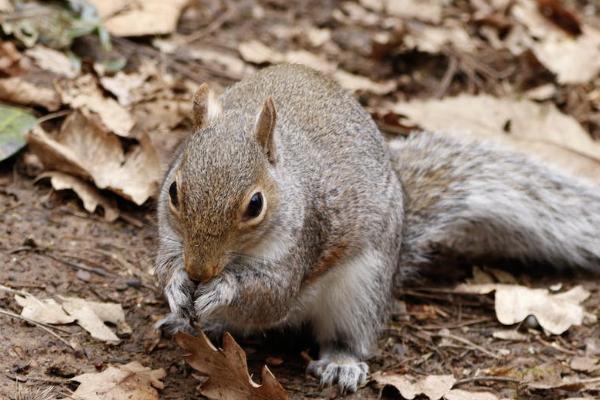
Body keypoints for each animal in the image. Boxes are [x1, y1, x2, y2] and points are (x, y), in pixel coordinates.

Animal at [155, 64, 600, 392]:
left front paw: (223, 288)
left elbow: (271, 297)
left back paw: (341, 363)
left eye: (255, 205)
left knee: (349, 335)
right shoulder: (169, 238)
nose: (200, 270)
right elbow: (163, 267)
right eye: (173, 190)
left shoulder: (302, 244)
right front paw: (177, 286)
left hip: (361, 290)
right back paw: (189, 322)